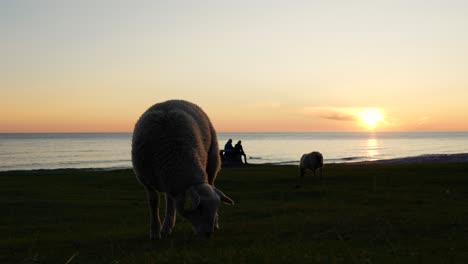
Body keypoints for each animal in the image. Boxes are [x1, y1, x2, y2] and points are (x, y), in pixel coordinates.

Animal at [132, 99, 234, 239]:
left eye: (216, 207)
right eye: (200, 208)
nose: (208, 234)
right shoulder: (146, 180)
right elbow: (154, 203)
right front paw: (155, 232)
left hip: (212, 161)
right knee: (170, 199)